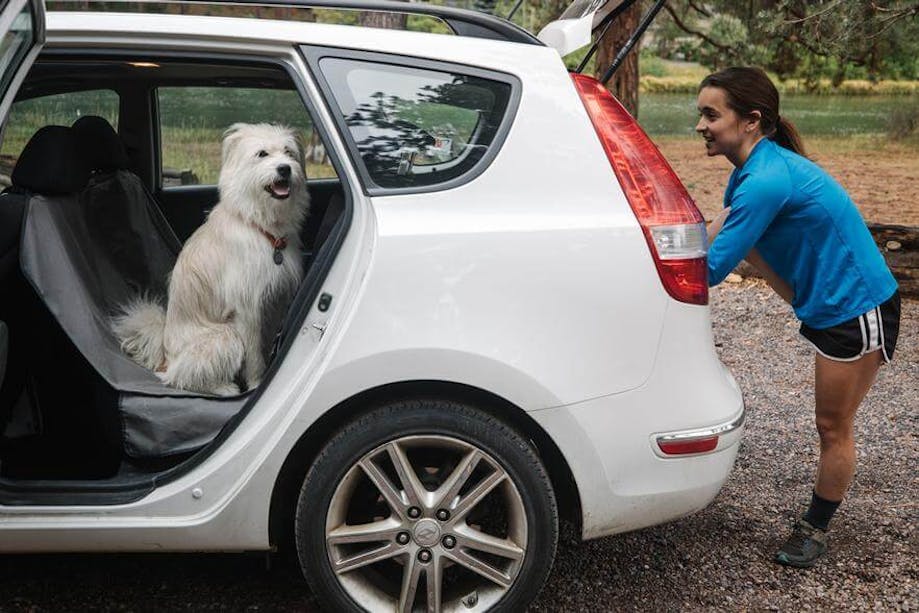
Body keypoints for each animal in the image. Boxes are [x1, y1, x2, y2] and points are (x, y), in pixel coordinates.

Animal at [112, 122, 310, 394]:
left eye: (289, 152)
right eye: (262, 154)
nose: (285, 168)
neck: (259, 225)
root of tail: (165, 357)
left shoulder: (274, 302)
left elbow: (266, 343)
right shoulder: (248, 309)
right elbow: (255, 355)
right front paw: (257, 383)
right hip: (224, 336)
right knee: (181, 377)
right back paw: (224, 388)